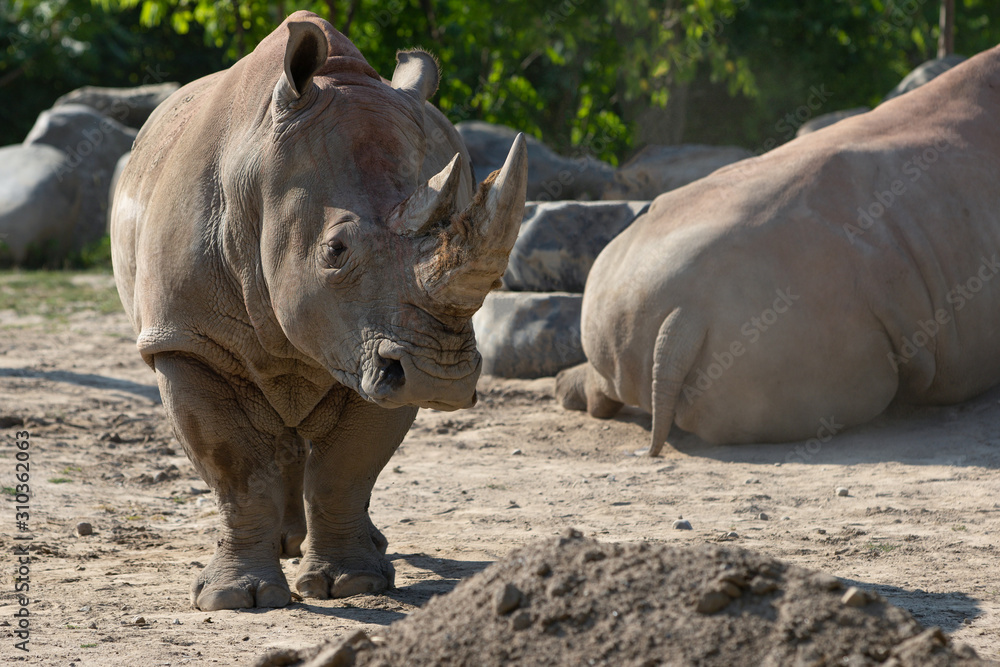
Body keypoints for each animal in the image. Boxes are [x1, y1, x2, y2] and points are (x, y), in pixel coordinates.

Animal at [111, 11, 527, 610]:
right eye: (335, 251)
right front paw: (237, 599)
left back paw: (357, 546)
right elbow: (236, 468)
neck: (257, 171)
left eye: (497, 278)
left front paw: (350, 583)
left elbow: (347, 469)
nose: (442, 378)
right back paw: (288, 545)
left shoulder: (376, 347)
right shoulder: (185, 339)